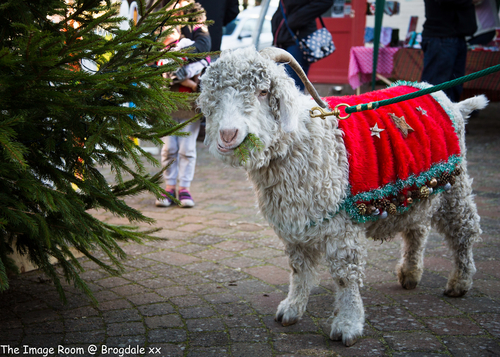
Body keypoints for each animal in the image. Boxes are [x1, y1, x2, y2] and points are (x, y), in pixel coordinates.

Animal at [197, 46, 486, 344]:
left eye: (263, 91)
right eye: (213, 95)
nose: (228, 134)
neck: (304, 140)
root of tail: (449, 102)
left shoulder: (340, 223)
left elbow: (345, 274)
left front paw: (348, 324)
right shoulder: (296, 221)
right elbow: (299, 268)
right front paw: (292, 309)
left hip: (455, 185)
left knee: (465, 231)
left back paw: (460, 282)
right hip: (417, 189)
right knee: (417, 229)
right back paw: (410, 273)